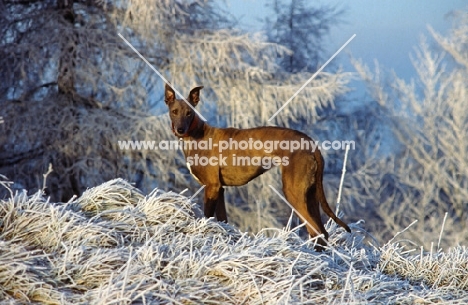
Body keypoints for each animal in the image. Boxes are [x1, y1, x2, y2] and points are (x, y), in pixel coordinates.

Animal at [165, 82, 352, 247]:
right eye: (174, 111)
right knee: (323, 233)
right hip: (310, 194)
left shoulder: (211, 187)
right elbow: (223, 221)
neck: (197, 135)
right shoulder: (220, 189)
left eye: (189, 113)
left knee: (316, 232)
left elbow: (207, 218)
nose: (180, 130)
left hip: (294, 193)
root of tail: (311, 144)